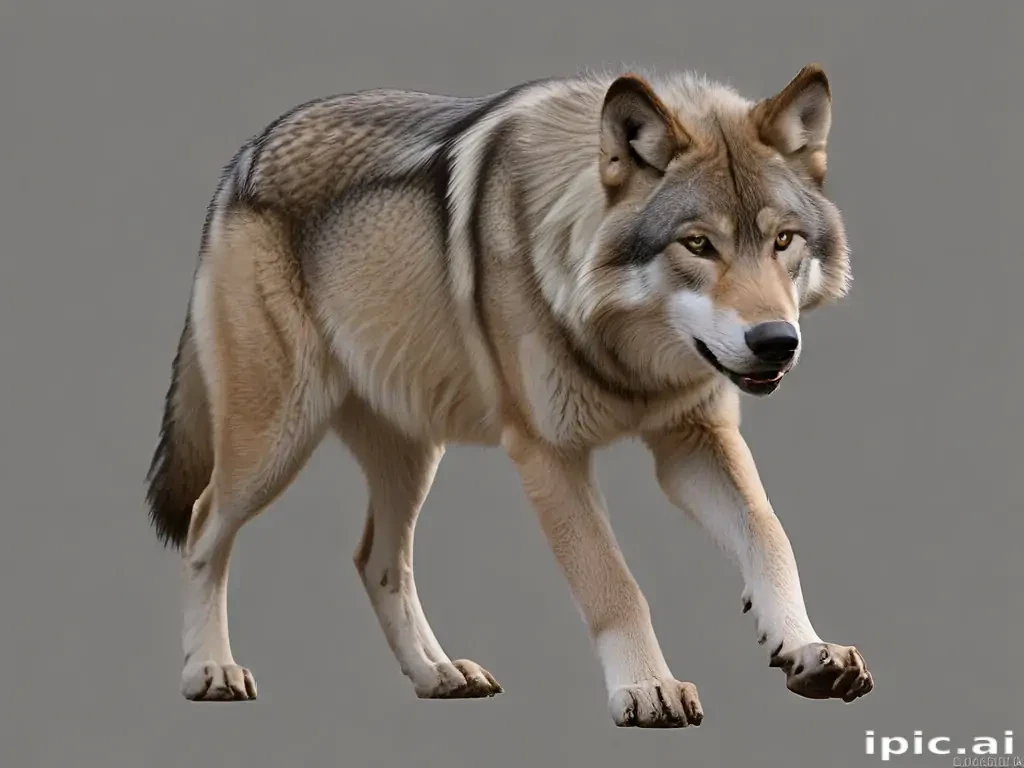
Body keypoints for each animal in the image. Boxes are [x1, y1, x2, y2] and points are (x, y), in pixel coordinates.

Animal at [145, 62, 873, 727]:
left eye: (783, 240)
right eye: (698, 244)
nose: (776, 341)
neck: (627, 358)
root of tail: (246, 153)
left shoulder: (694, 438)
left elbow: (770, 538)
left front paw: (807, 649)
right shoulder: (549, 455)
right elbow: (615, 586)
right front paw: (648, 688)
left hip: (413, 453)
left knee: (378, 560)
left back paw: (438, 674)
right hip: (275, 440)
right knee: (206, 525)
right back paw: (210, 671)